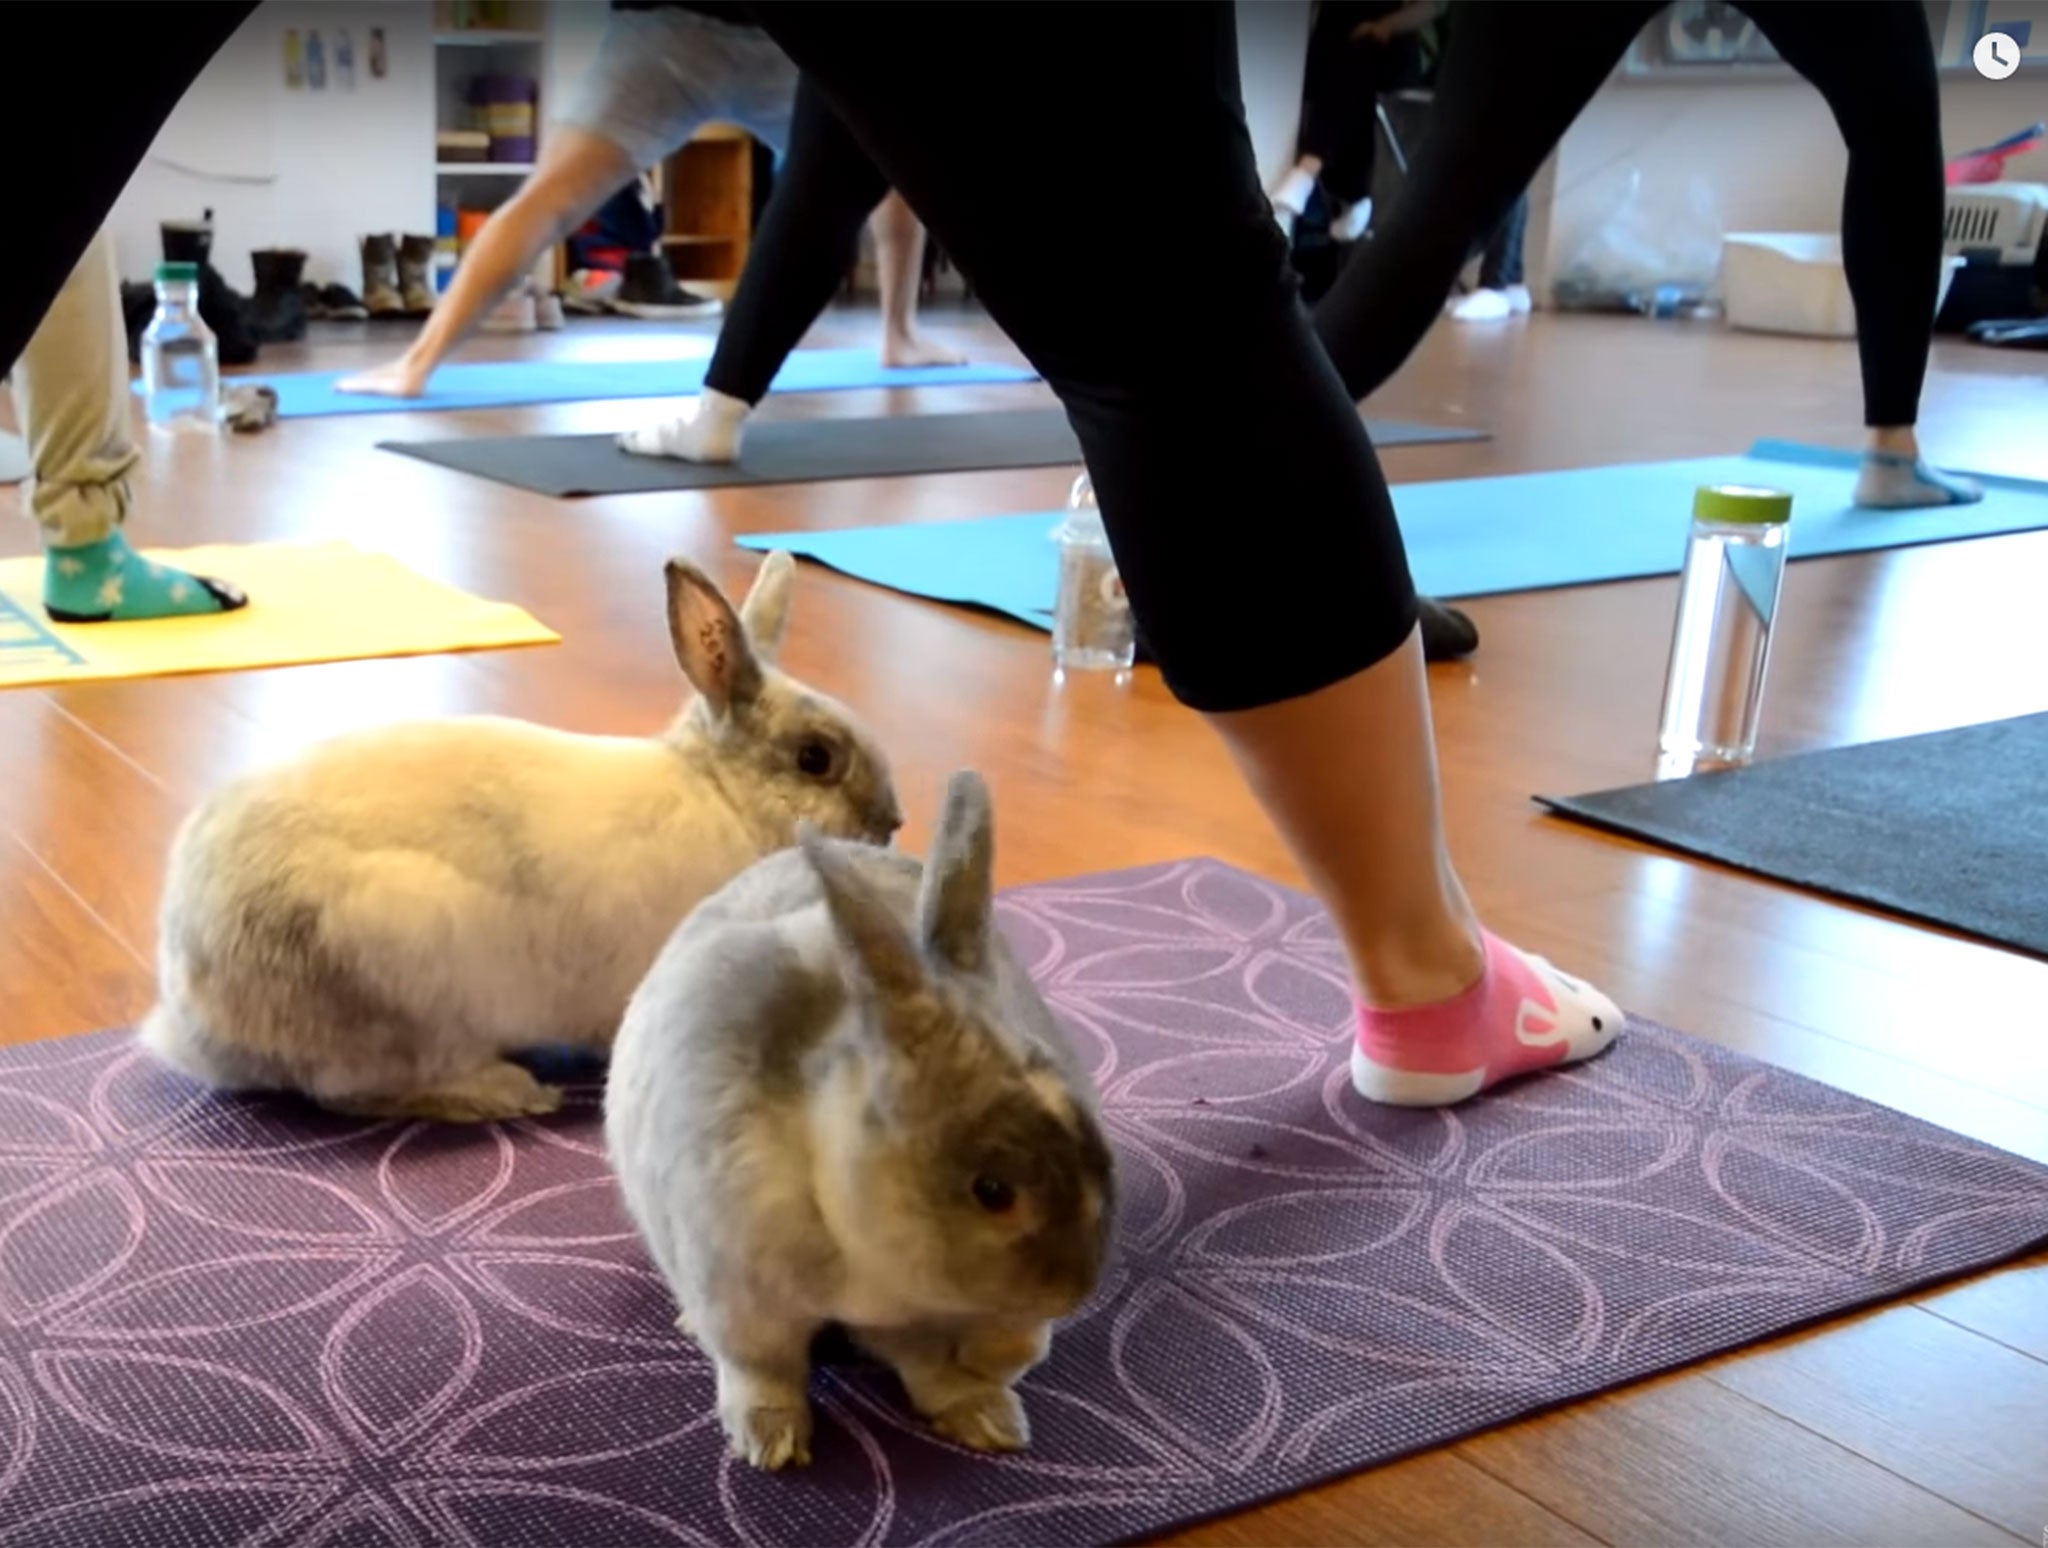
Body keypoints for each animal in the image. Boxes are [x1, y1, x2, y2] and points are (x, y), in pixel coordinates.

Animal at [148, 548, 901, 1122]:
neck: (722, 793)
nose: (891, 825)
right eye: (816, 759)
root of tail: (190, 1013)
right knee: (359, 1090)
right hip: (402, 972)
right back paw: (509, 1093)